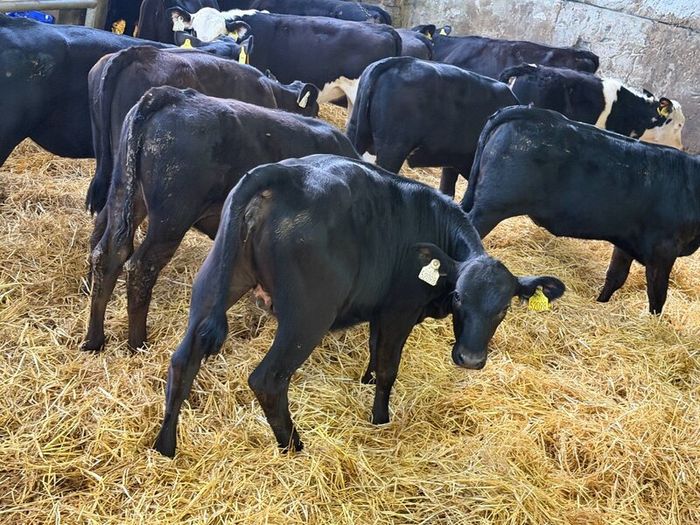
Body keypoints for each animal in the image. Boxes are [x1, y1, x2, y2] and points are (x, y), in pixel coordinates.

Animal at [82, 87, 357, 352]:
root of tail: (170, 95)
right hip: (171, 219)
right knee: (141, 269)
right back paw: (137, 344)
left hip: (123, 195)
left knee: (108, 255)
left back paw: (94, 341)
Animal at [151, 153, 566, 457]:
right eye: (460, 296)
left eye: (504, 308)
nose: (470, 359)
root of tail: (283, 174)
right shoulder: (399, 311)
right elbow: (389, 368)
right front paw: (380, 418)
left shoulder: (380, 311)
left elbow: (374, 349)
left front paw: (365, 378)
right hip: (307, 318)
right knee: (267, 380)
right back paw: (294, 448)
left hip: (213, 284)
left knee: (182, 361)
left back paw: (165, 446)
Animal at [462, 106, 700, 314]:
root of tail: (533, 112)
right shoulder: (664, 250)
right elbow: (657, 296)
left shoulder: (626, 243)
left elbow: (615, 277)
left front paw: (601, 303)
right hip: (491, 208)